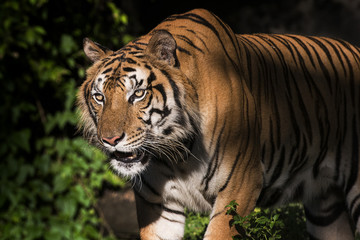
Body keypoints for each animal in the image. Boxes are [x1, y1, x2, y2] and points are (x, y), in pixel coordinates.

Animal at [78, 8, 360, 239]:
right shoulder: (157, 202)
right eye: (99, 97)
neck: (177, 153)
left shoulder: (240, 187)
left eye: (137, 94)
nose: (110, 140)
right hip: (326, 209)